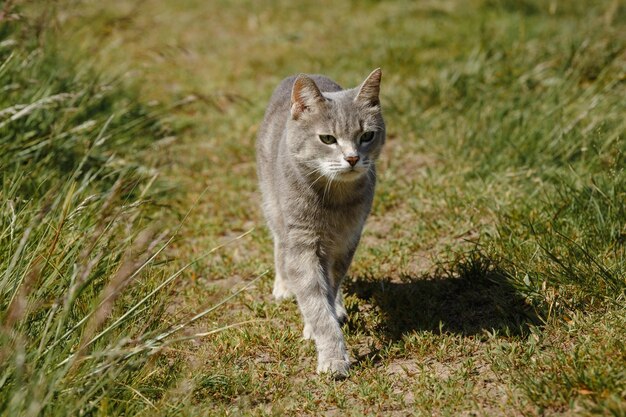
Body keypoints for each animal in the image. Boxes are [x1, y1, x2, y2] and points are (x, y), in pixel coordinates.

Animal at [255, 69, 382, 376]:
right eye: (327, 139)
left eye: (367, 136)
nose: (352, 158)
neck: (334, 200)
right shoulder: (303, 244)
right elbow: (314, 297)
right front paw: (333, 357)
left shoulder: (347, 240)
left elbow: (331, 285)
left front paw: (329, 313)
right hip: (273, 205)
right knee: (279, 244)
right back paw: (283, 286)